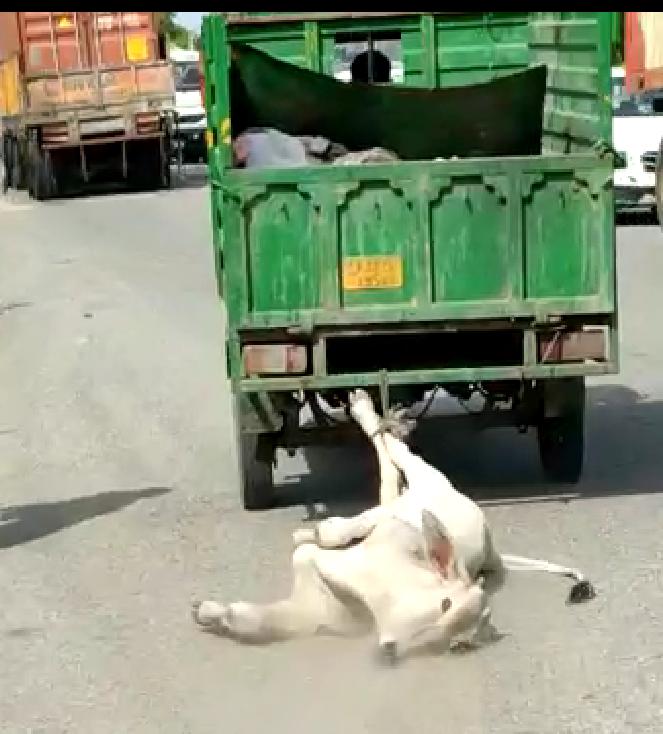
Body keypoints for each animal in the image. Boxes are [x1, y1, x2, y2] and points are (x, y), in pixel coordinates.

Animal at [193, 388, 596, 664]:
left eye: (459, 644)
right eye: (444, 602)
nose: (390, 651)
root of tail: (491, 543)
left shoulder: (317, 610)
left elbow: (266, 619)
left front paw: (212, 614)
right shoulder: (321, 566)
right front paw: (212, 612)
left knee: (387, 481)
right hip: (426, 478)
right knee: (392, 459)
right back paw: (370, 412)